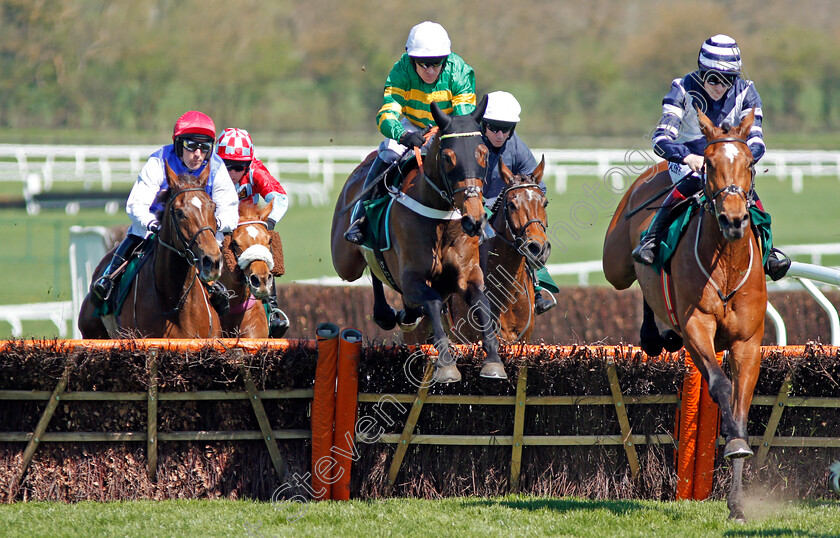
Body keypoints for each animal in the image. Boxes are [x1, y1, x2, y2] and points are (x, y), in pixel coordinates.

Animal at [328, 96, 502, 382]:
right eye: (448, 157)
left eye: (484, 153)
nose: (474, 220)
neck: (442, 222)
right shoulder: (412, 278)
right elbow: (430, 300)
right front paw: (446, 364)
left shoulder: (467, 274)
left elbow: (481, 302)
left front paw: (494, 360)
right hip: (344, 262)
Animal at [604, 109, 768, 520]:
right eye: (708, 163)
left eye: (749, 163)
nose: (733, 219)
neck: (726, 263)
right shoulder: (697, 327)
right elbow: (720, 385)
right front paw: (733, 443)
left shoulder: (747, 342)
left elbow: (741, 408)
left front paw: (737, 503)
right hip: (615, 265)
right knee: (637, 280)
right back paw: (653, 331)